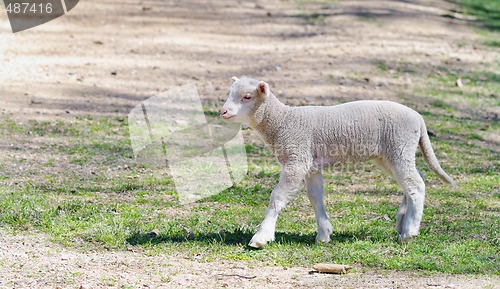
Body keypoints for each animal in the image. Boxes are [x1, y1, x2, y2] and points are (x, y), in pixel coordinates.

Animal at [221, 76, 456, 248]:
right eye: (230, 93)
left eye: (247, 97)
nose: (223, 111)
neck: (283, 121)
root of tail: (419, 118)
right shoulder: (311, 165)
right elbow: (315, 197)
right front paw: (324, 234)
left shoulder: (297, 160)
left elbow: (277, 197)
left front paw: (261, 237)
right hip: (389, 155)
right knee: (415, 179)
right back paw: (401, 222)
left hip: (399, 147)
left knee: (416, 185)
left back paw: (409, 232)